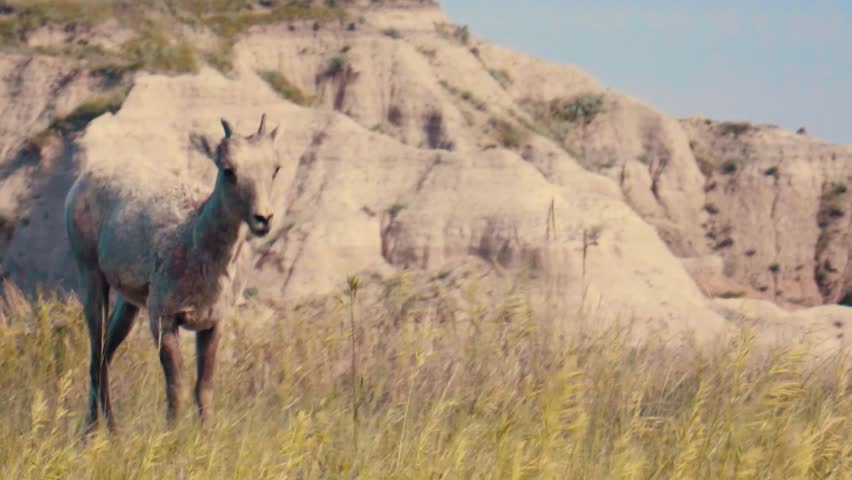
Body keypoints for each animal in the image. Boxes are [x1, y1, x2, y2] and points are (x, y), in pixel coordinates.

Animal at [64, 114, 282, 432]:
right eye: (228, 170)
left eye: (275, 168)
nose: (263, 219)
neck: (196, 243)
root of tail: (83, 179)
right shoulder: (164, 319)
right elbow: (176, 389)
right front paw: (171, 438)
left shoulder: (212, 324)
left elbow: (204, 389)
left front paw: (207, 437)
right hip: (91, 278)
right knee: (96, 358)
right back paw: (98, 434)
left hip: (129, 305)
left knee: (104, 354)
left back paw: (107, 434)